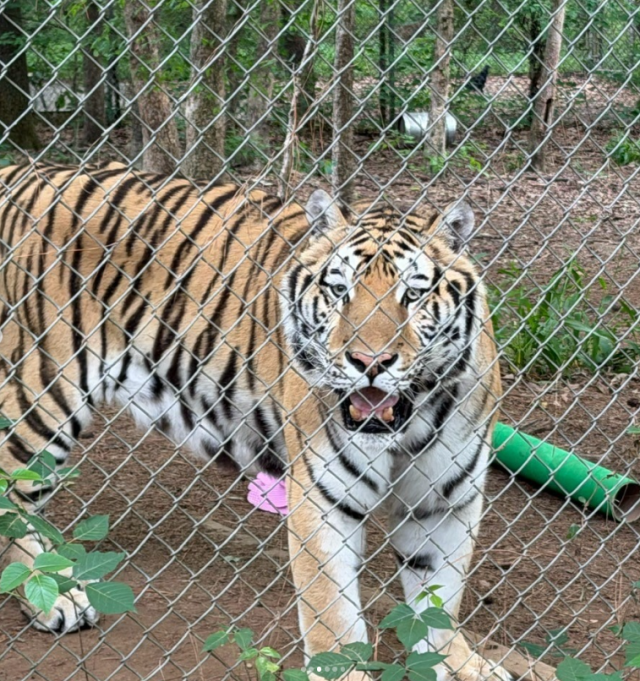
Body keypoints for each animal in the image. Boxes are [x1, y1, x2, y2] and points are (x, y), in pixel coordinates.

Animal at [0, 162, 508, 681]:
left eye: (413, 295)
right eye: (340, 291)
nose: (370, 362)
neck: (409, 424)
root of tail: (20, 171)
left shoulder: (446, 500)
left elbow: (440, 600)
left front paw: (459, 663)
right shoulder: (322, 499)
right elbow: (334, 620)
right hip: (40, 394)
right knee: (13, 499)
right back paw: (52, 601)